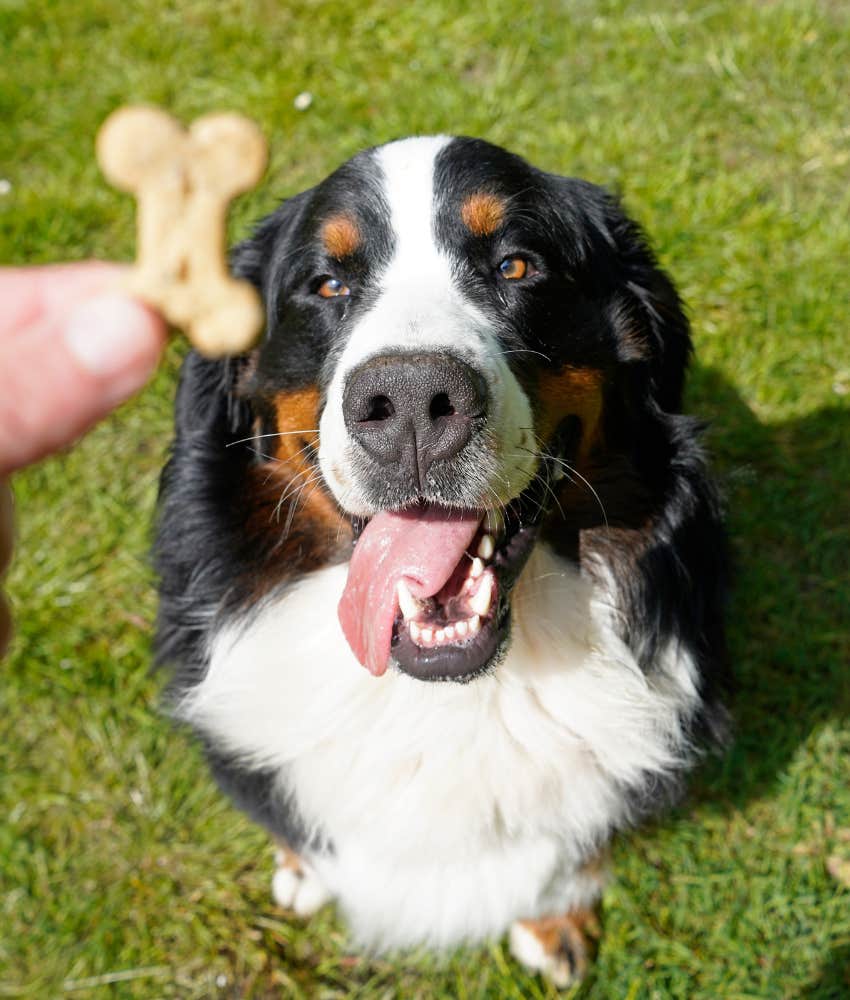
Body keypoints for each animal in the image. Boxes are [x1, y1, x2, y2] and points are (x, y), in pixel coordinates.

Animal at [152, 137, 724, 988]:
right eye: (327, 284)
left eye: (518, 266)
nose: (414, 400)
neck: (444, 696)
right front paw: (300, 868)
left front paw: (555, 926)